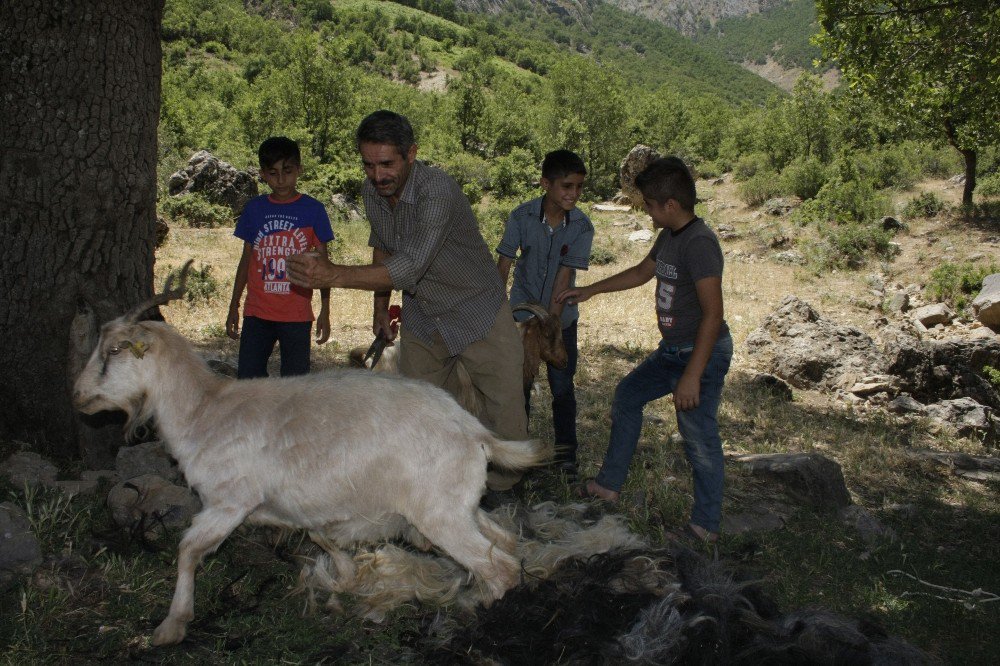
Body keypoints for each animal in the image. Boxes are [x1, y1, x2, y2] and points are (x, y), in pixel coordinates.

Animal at [74, 264, 552, 644]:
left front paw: (171, 626)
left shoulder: (229, 500)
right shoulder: (299, 506)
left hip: (439, 514)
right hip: (459, 506)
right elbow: (322, 536)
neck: (204, 410)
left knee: (500, 567)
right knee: (504, 542)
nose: (78, 395)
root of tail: (475, 432)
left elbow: (189, 549)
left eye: (113, 350)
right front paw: (343, 579)